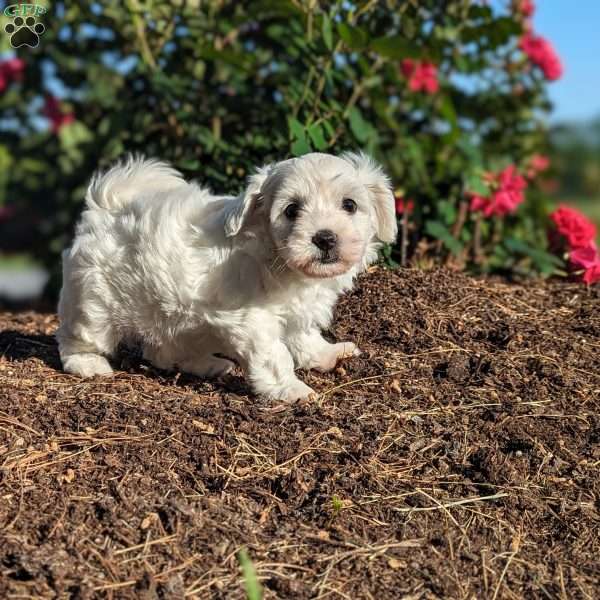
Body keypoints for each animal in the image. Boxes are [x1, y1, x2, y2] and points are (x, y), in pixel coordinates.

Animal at [58, 152, 398, 400]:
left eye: (349, 205)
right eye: (291, 210)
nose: (325, 238)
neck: (277, 259)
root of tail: (107, 207)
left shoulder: (296, 312)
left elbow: (304, 337)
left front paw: (328, 354)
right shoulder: (252, 321)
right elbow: (275, 355)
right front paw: (293, 390)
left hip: (173, 313)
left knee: (163, 351)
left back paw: (209, 364)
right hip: (94, 300)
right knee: (76, 337)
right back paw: (88, 364)